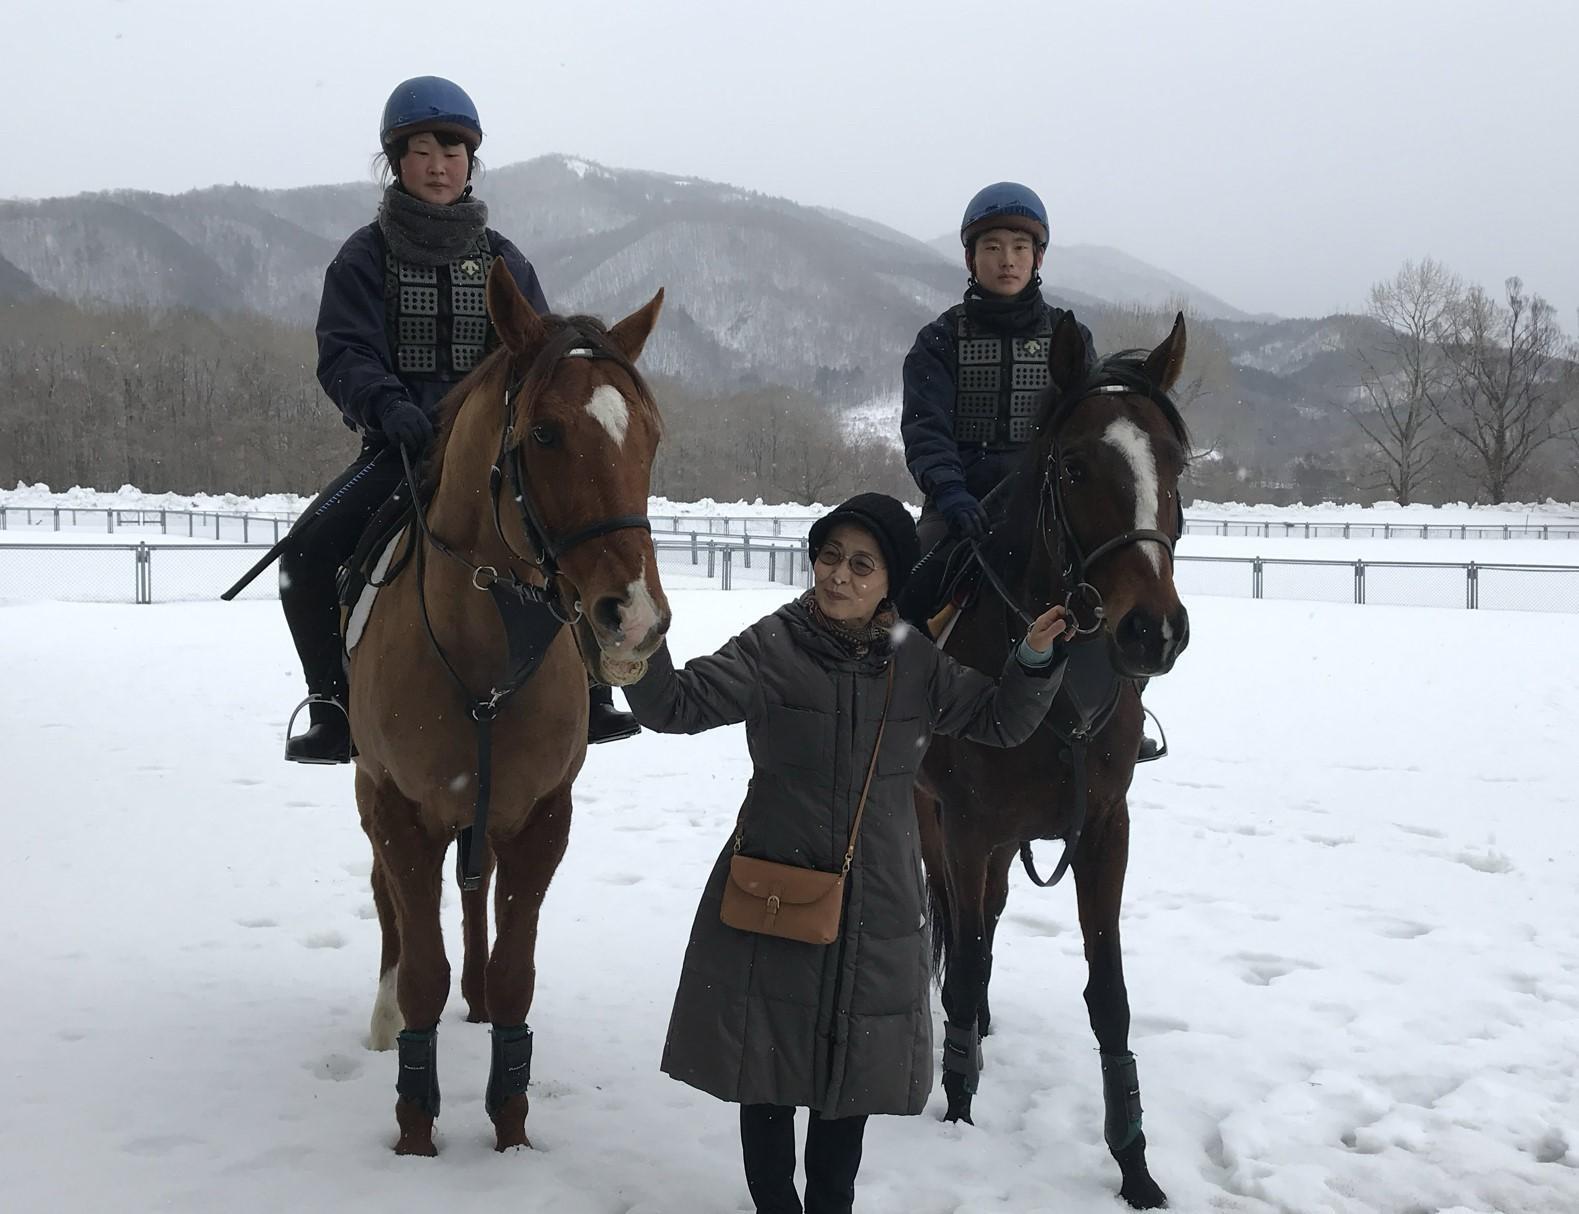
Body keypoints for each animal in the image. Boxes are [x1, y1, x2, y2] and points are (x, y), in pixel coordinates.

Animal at [348, 265, 669, 1155]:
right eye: (546, 435)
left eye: (651, 438)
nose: (634, 619)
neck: (486, 646)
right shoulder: (400, 812)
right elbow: (421, 972)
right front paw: (414, 1132)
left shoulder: (540, 817)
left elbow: (516, 973)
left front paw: (511, 1128)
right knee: (389, 904)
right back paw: (382, 1017)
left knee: (475, 901)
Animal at [922, 309, 1187, 1199]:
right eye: (1074, 465)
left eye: (1175, 462)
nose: (1153, 631)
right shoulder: (964, 828)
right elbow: (963, 964)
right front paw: (958, 1114)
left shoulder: (1103, 830)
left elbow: (1109, 995)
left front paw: (1133, 1160)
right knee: (955, 929)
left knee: (990, 919)